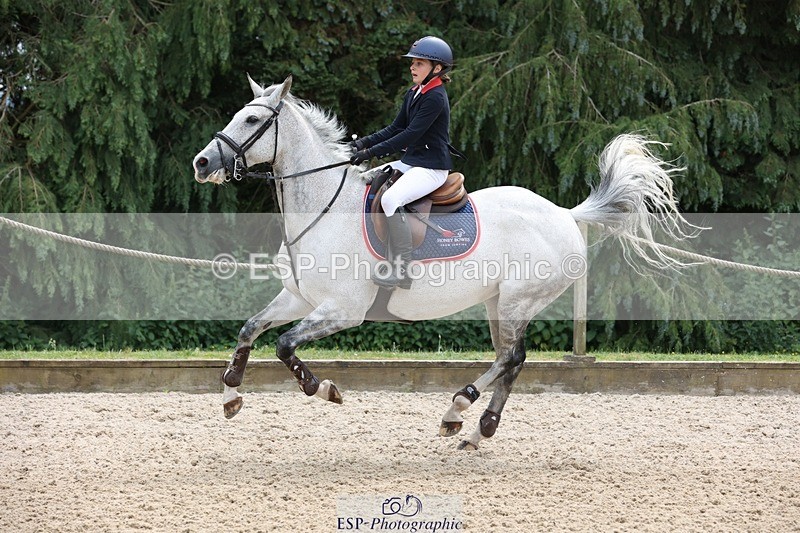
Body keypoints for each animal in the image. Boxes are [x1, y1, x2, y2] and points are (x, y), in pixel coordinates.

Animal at [192, 75, 695, 450]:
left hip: (517, 300)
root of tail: (564, 214)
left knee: (511, 357)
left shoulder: (342, 310)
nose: (201, 162)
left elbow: (284, 346)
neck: (322, 207)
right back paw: (474, 431)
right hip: (498, 302)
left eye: (252, 119)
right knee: (509, 360)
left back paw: (460, 410)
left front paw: (325, 389)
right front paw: (231, 393)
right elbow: (250, 329)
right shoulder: (298, 298)